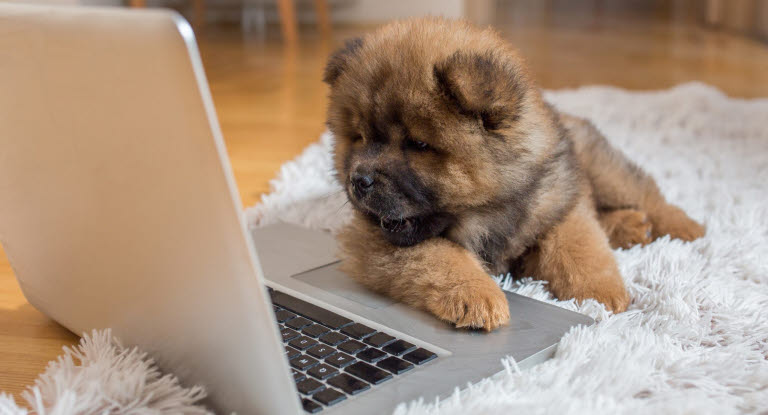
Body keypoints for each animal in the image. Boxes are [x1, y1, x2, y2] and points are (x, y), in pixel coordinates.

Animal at [320, 17, 704, 332]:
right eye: (359, 137)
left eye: (418, 144)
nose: (359, 180)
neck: (486, 212)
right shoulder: (373, 239)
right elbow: (439, 256)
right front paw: (478, 295)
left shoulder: (559, 196)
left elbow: (578, 244)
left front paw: (601, 293)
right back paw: (633, 226)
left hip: (602, 168)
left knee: (645, 193)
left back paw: (683, 227)